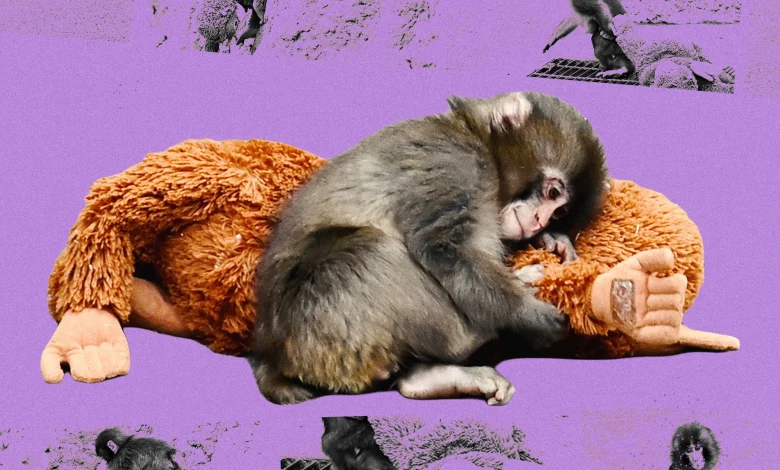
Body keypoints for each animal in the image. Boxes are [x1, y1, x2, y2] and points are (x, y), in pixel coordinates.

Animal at [250, 91, 609, 406]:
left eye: (559, 212)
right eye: (552, 193)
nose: (539, 221)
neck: (476, 138)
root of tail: (271, 354)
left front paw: (552, 240)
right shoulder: (456, 162)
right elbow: (443, 245)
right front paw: (526, 314)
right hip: (318, 327)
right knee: (368, 250)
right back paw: (478, 333)